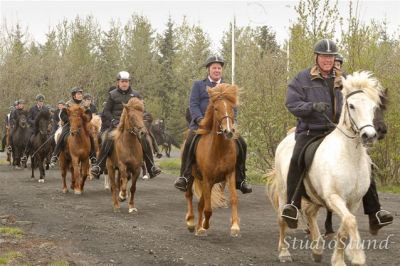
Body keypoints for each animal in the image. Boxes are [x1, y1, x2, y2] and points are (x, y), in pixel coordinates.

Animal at [185, 83, 239, 237]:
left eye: (232, 107)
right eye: (216, 108)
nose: (228, 132)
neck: (219, 150)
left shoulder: (230, 174)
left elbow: (234, 199)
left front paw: (235, 226)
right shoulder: (208, 178)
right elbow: (208, 208)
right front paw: (205, 224)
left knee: (200, 203)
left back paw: (198, 228)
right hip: (192, 176)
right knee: (189, 195)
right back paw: (191, 222)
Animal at [268, 71, 384, 266]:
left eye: (373, 106)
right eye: (351, 106)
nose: (369, 135)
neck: (349, 157)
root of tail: (288, 138)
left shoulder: (353, 201)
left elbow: (345, 227)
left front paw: (339, 259)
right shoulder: (334, 197)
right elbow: (350, 221)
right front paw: (356, 256)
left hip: (315, 196)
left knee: (309, 213)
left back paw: (317, 250)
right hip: (285, 193)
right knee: (282, 218)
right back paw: (284, 252)